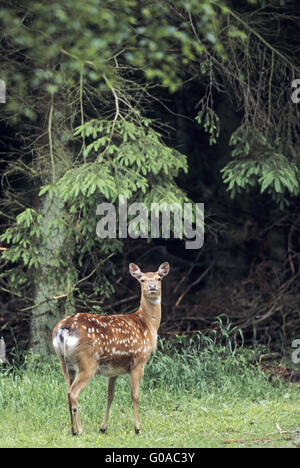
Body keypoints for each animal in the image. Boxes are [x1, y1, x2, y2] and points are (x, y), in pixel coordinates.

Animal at [51, 262, 169, 436]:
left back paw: (73, 430)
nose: (152, 287)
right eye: (142, 279)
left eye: (158, 278)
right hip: (87, 363)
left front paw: (103, 427)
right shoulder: (139, 361)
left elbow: (109, 396)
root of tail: (64, 329)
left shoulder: (113, 371)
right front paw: (138, 428)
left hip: (64, 364)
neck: (147, 323)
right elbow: (135, 395)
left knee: (67, 392)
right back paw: (80, 430)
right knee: (73, 392)